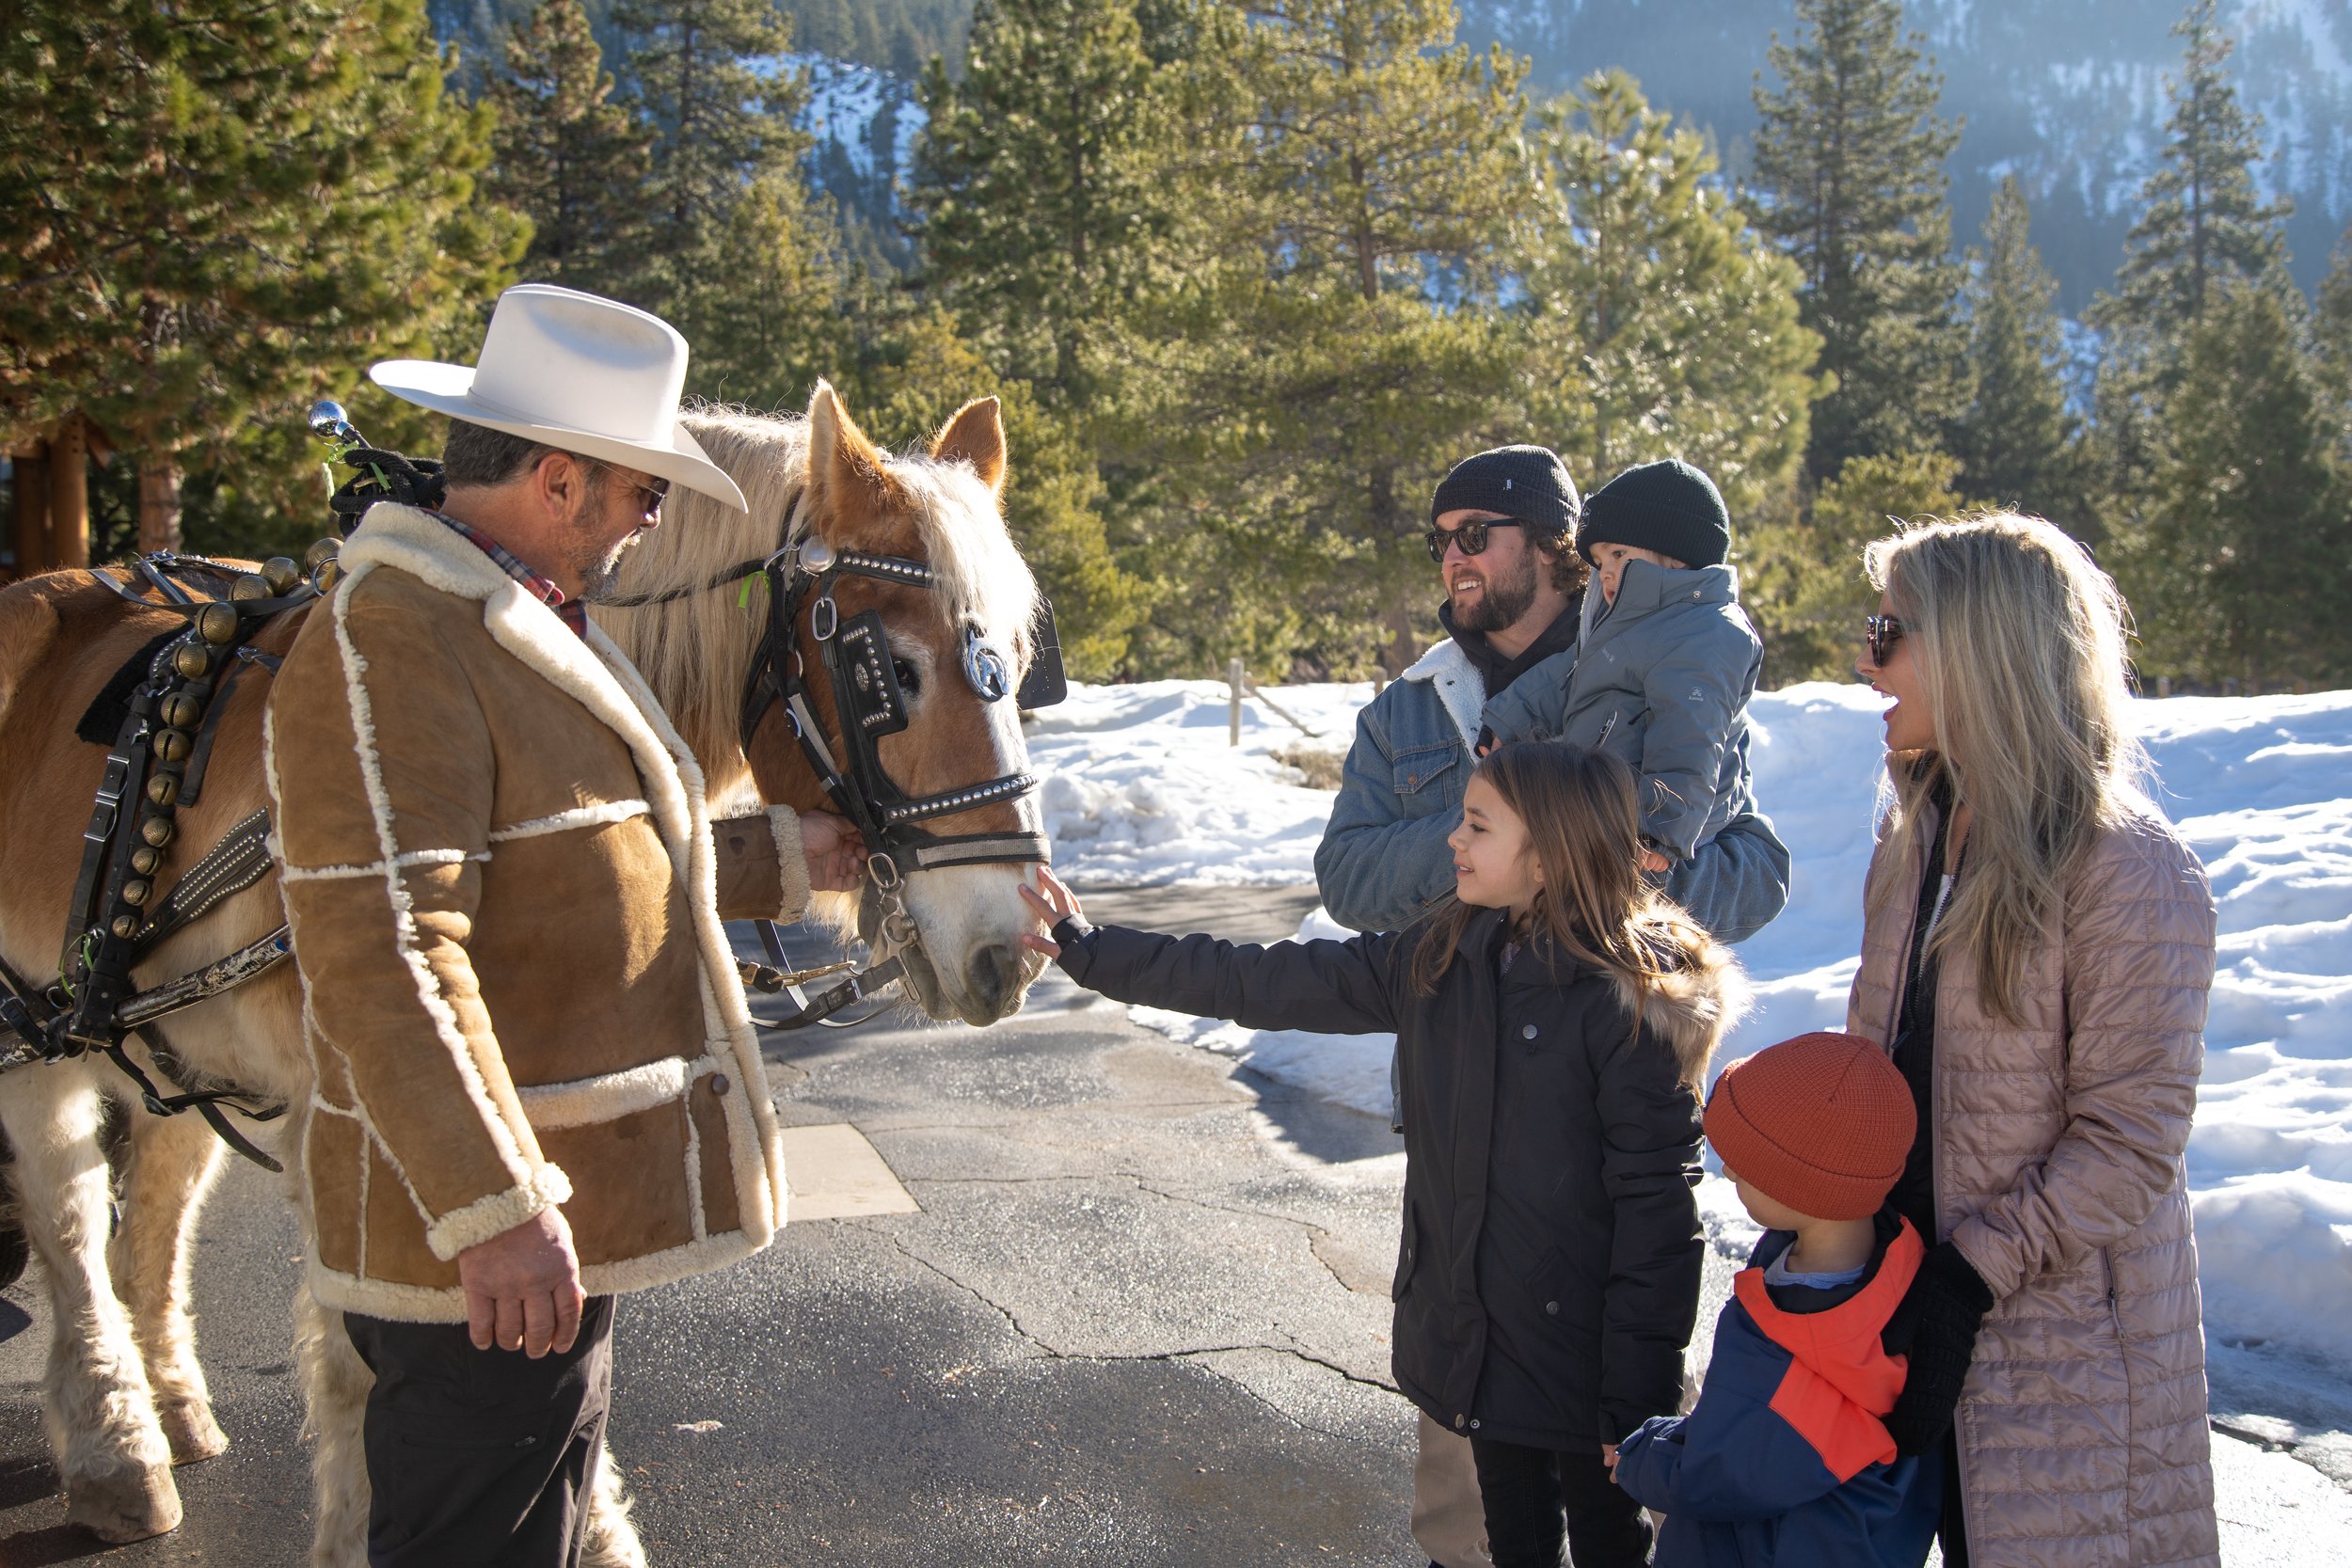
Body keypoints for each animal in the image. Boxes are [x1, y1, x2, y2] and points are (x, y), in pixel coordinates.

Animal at [0, 383, 1054, 1560]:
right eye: (888, 674)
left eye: (1019, 664)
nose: (1014, 947)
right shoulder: (363, 1103)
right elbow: (365, 1357)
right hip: (34, 1042)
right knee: (70, 1220)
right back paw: (114, 1440)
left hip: (182, 1047)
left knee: (161, 1203)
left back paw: (175, 1399)